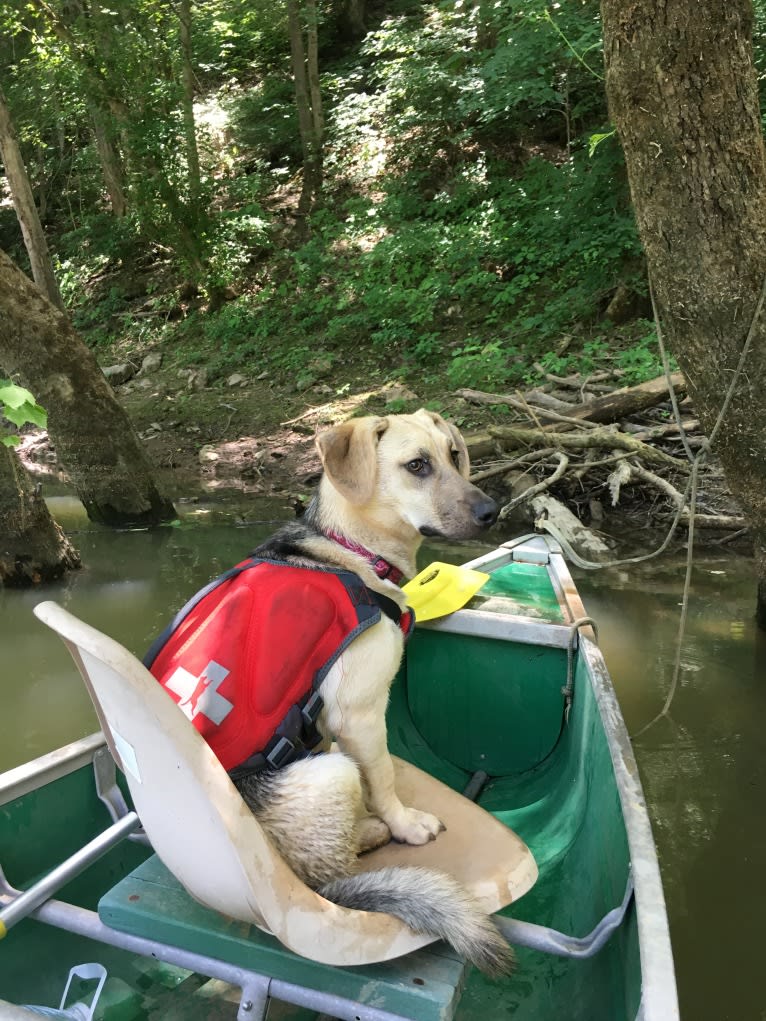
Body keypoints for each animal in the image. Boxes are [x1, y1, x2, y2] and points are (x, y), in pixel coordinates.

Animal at [233, 408, 510, 971]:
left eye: (454, 454)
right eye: (417, 465)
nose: (493, 511)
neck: (352, 549)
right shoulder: (360, 716)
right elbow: (381, 778)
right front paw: (405, 824)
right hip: (329, 776)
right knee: (330, 862)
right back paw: (374, 831)